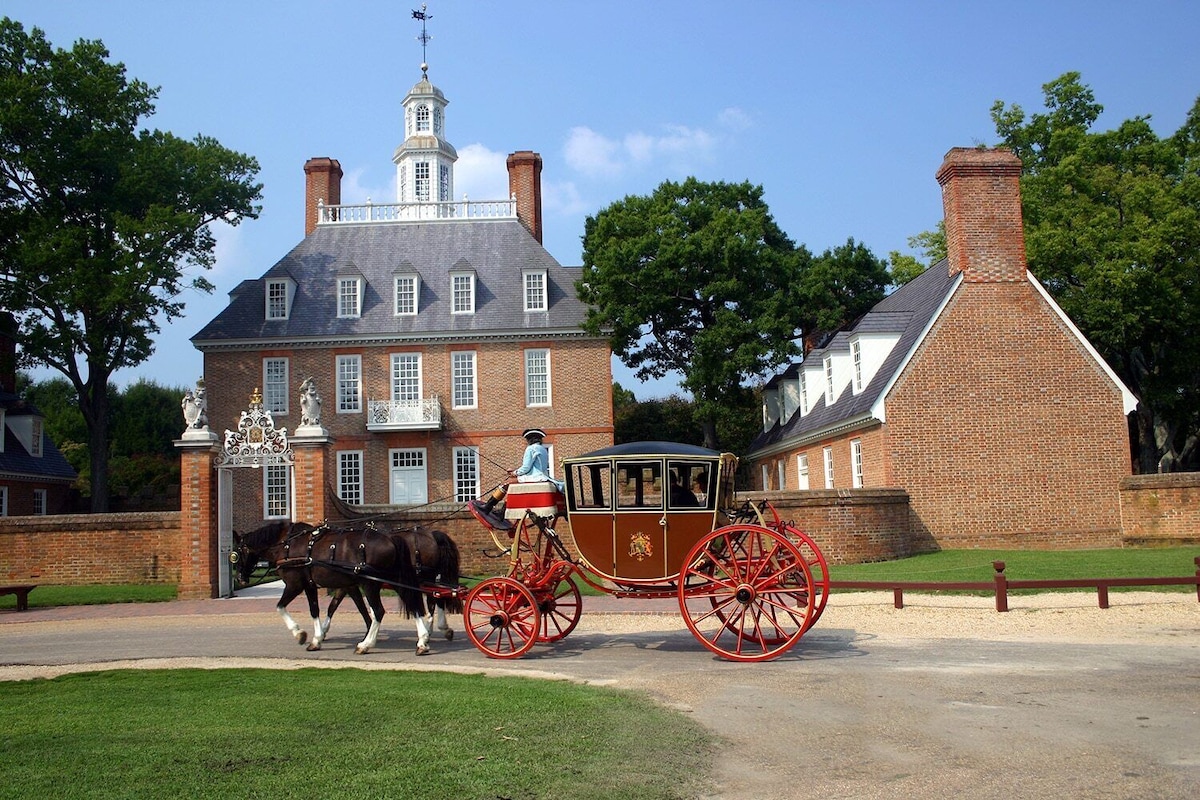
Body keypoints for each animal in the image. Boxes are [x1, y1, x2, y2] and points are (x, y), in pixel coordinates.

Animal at [230, 522, 427, 652]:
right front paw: (317, 639)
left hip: (370, 583)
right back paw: (422, 641)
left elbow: (280, 606)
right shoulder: (310, 585)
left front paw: (299, 633)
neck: (287, 545)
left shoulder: (295, 585)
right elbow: (315, 610)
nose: (240, 578)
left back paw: (365, 645)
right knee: (413, 604)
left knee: (379, 611)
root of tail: (391, 537)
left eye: (237, 554)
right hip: (392, 579)